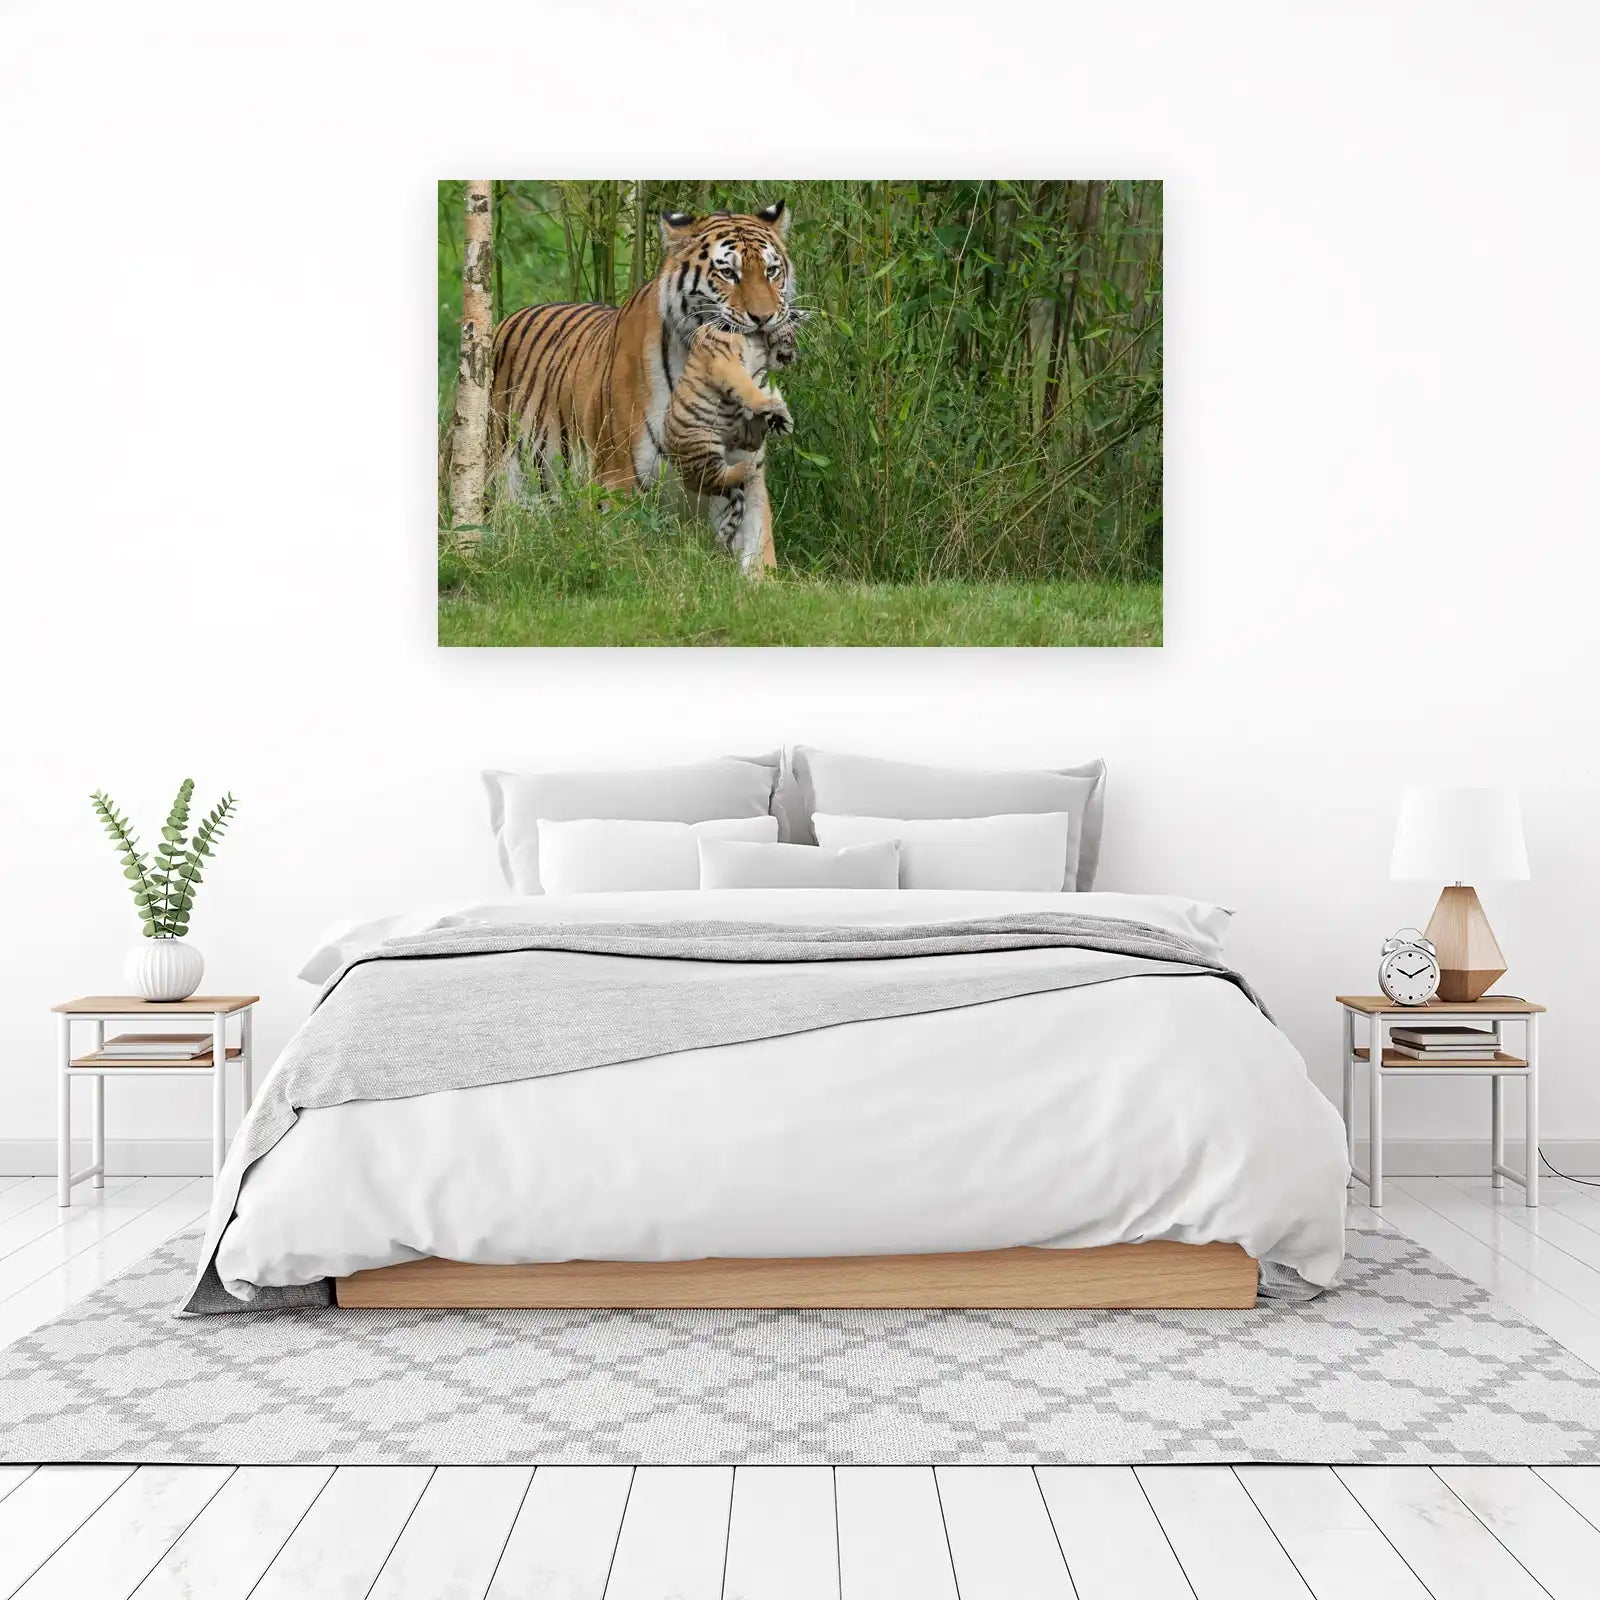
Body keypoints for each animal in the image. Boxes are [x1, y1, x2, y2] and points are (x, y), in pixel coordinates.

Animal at [664, 319, 798, 553]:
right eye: (791, 334)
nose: (793, 358)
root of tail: (689, 480)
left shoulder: (758, 374)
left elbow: (765, 390)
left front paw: (782, 417)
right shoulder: (726, 362)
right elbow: (749, 390)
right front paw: (773, 407)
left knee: (750, 441)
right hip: (704, 448)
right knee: (727, 474)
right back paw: (750, 467)